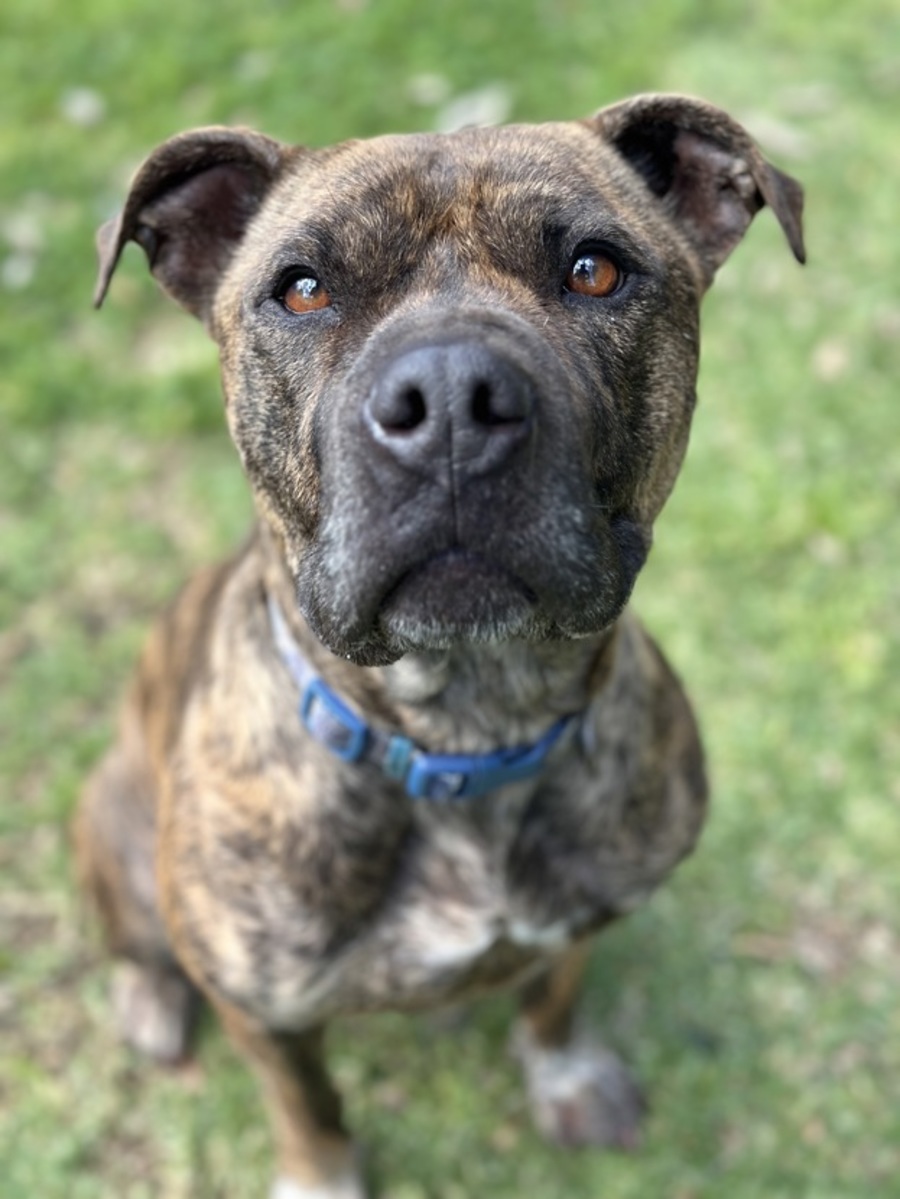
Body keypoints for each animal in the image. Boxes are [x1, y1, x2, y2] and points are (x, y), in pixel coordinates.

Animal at [76, 94, 805, 1198]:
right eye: (302, 289)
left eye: (595, 269)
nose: (454, 397)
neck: (467, 724)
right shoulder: (270, 1013)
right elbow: (308, 1105)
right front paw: (322, 1175)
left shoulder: (587, 910)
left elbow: (554, 991)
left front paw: (563, 1073)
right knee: (140, 945)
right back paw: (150, 1000)